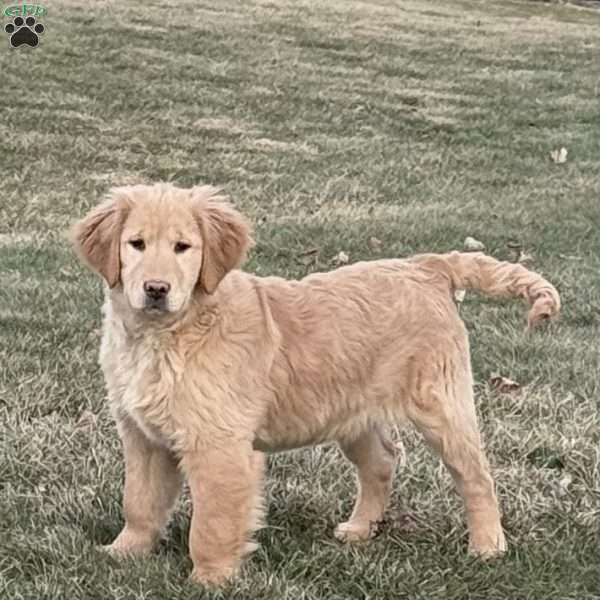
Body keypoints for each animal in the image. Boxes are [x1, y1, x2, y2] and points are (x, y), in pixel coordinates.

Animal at [72, 184, 560, 584]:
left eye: (183, 248)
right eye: (136, 244)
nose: (156, 289)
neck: (165, 335)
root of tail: (427, 266)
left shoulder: (218, 445)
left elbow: (212, 523)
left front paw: (209, 580)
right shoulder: (143, 437)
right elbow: (139, 500)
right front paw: (124, 551)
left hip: (441, 405)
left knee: (477, 476)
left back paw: (488, 546)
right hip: (353, 413)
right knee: (382, 462)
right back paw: (360, 529)